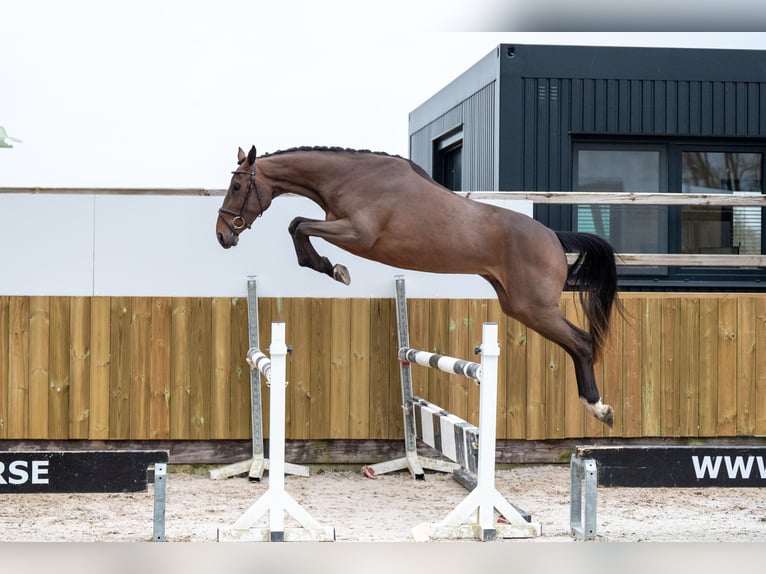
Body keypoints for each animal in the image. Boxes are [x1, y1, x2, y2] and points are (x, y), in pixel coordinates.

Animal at [218, 146, 624, 430]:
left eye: (237, 186)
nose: (223, 235)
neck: (349, 178)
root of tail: (554, 237)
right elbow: (297, 224)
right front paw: (331, 268)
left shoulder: (358, 234)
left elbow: (299, 224)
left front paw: (333, 269)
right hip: (517, 305)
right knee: (577, 343)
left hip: (534, 307)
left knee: (581, 342)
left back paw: (600, 408)